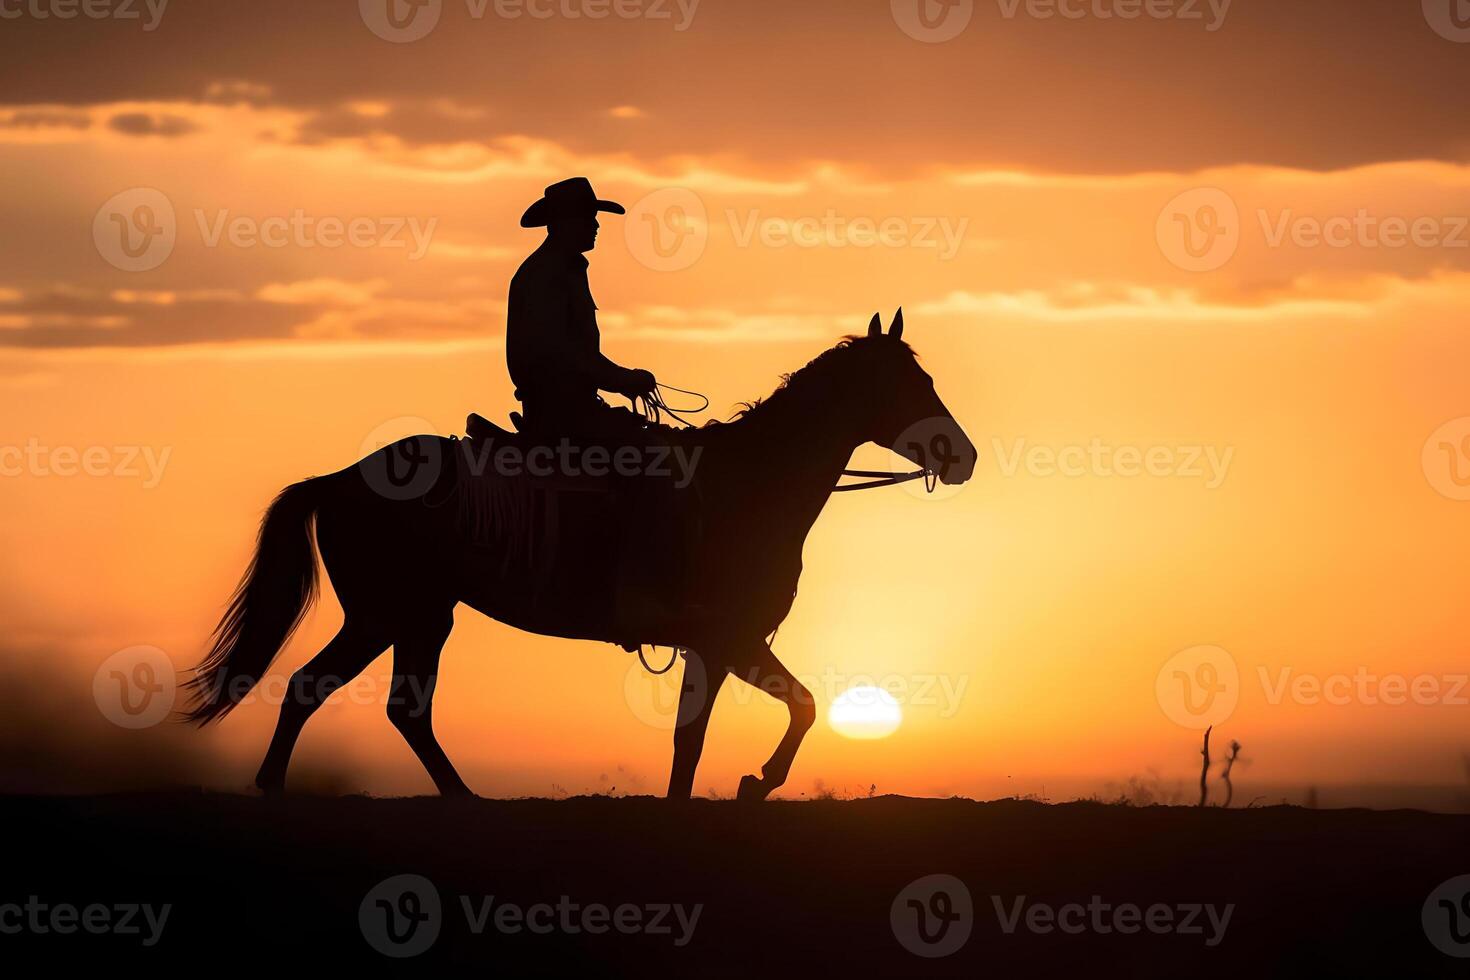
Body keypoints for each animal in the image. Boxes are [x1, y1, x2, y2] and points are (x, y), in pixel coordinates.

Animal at [189, 318, 981, 799]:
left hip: (420, 617)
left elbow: (768, 715)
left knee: (396, 709)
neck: (748, 486)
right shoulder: (722, 639)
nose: (964, 456)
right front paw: (747, 784)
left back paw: (458, 796)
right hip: (387, 615)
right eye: (912, 384)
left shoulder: (729, 643)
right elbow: (730, 727)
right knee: (314, 689)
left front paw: (743, 785)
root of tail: (342, 477)